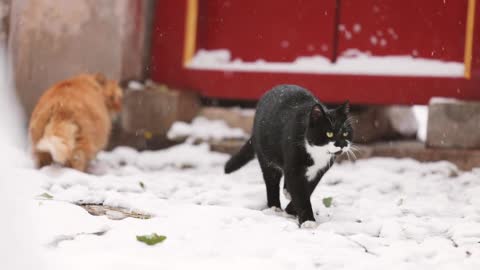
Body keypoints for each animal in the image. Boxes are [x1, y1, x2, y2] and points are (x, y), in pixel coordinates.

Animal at [225, 84, 352, 226]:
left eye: (345, 133)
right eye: (329, 134)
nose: (342, 144)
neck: (316, 153)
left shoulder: (320, 169)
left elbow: (308, 188)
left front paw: (291, 210)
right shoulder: (294, 166)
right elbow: (300, 192)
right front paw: (308, 221)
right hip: (266, 155)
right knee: (271, 180)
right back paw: (274, 207)